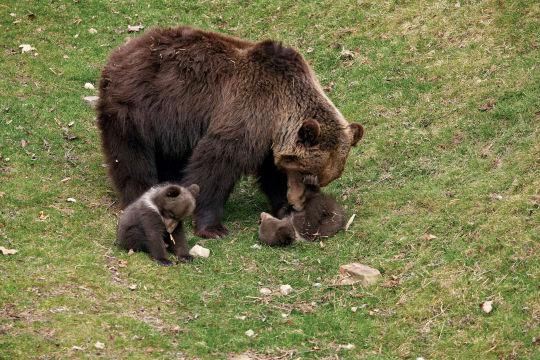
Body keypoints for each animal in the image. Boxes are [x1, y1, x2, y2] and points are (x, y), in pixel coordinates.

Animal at [99, 26, 364, 239]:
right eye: (308, 175)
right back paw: (141, 195)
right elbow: (216, 164)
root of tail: (121, 51)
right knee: (132, 158)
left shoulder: (268, 140)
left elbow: (271, 173)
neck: (279, 111)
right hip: (138, 108)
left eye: (321, 180)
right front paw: (213, 227)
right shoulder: (247, 113)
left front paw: (282, 206)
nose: (297, 203)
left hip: (169, 125)